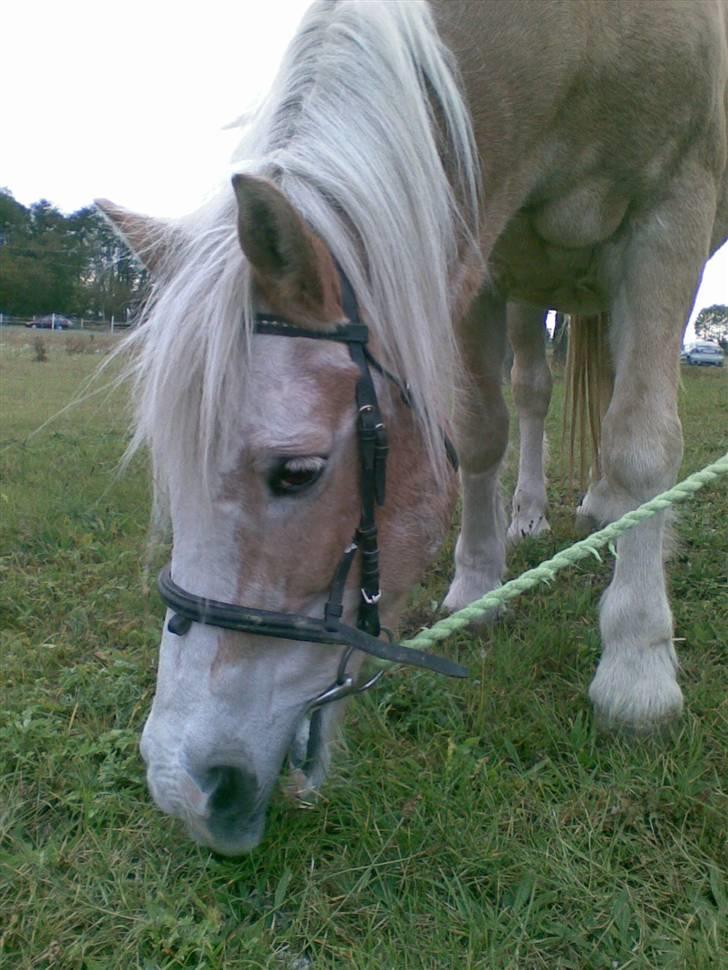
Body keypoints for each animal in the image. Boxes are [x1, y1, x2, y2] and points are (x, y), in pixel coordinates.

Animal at [98, 0, 728, 852]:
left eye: (296, 472)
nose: (184, 787)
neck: (581, 38)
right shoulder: (485, 250)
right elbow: (483, 428)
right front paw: (477, 582)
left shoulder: (670, 218)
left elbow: (641, 443)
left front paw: (637, 667)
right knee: (534, 392)